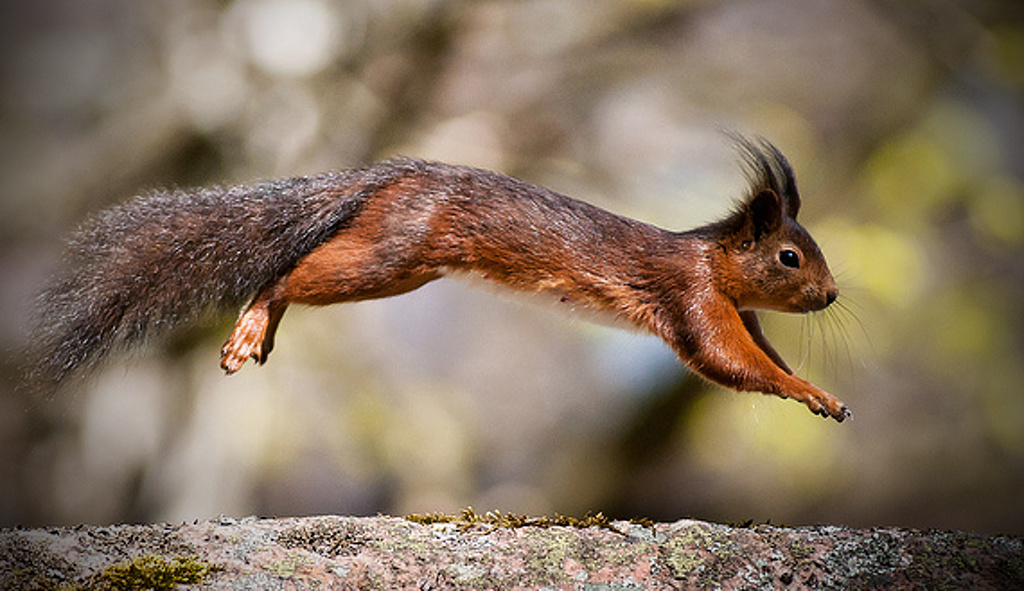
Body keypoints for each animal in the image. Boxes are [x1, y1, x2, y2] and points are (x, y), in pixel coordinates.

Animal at [29, 135, 847, 419]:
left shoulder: (744, 313)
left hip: (397, 267)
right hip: (390, 256)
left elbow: (757, 353)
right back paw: (253, 322)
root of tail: (388, 177)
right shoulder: (692, 299)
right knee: (286, 275)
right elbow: (727, 360)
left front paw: (820, 388)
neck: (715, 260)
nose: (833, 295)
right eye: (790, 257)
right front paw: (811, 393)